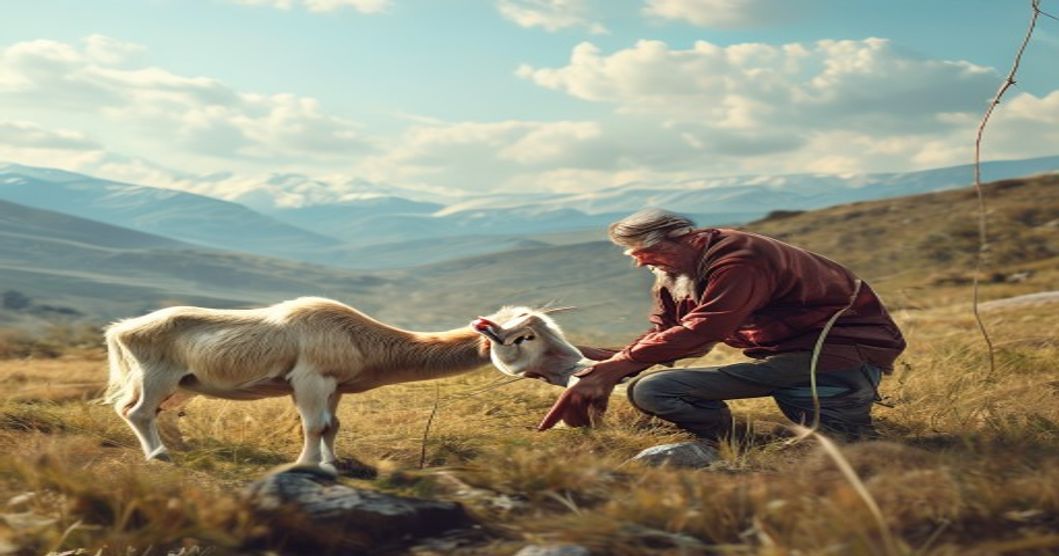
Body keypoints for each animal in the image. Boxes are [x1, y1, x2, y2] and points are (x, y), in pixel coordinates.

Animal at [104, 297, 586, 470]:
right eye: (525, 338)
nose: (579, 364)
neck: (361, 336)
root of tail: (121, 329)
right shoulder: (310, 379)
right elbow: (313, 425)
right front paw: (308, 465)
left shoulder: (334, 386)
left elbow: (332, 426)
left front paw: (333, 461)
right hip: (156, 375)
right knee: (137, 411)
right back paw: (160, 455)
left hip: (183, 383)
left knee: (158, 413)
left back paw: (178, 446)